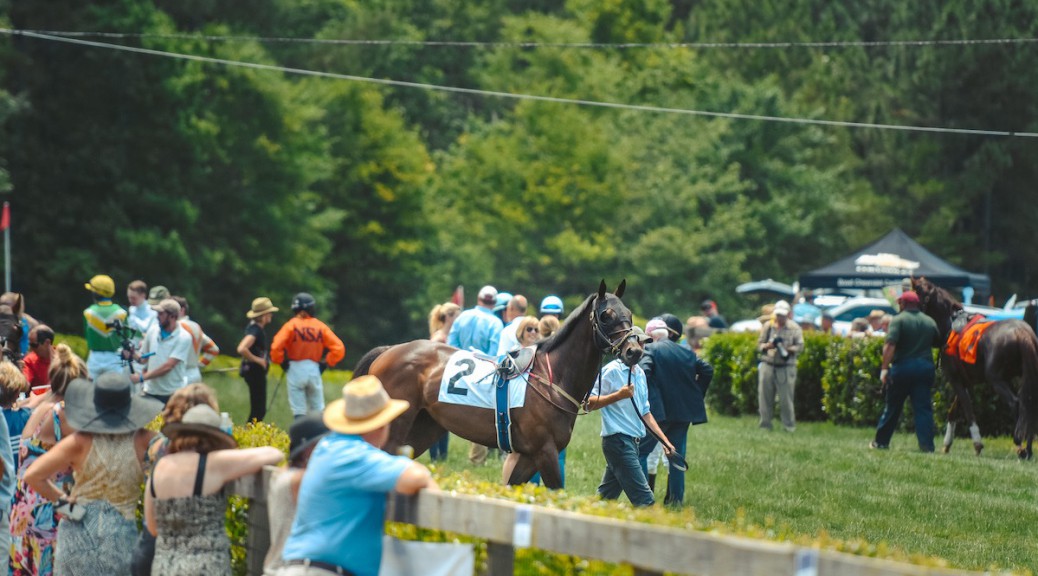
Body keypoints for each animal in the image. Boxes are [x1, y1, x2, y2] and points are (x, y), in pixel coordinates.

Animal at [361, 282, 643, 489]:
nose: (634, 351)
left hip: (425, 427)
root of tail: (389, 350)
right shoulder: (546, 452)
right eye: (606, 315)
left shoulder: (528, 456)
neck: (552, 379)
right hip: (396, 425)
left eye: (628, 314)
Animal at [913, 278, 1033, 456]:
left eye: (914, 295)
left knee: (1016, 403)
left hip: (996, 379)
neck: (950, 325)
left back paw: (1020, 445)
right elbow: (953, 411)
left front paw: (977, 443)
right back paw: (1029, 449)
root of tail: (1021, 332)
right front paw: (947, 443)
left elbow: (968, 409)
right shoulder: (967, 381)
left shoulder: (955, 379)